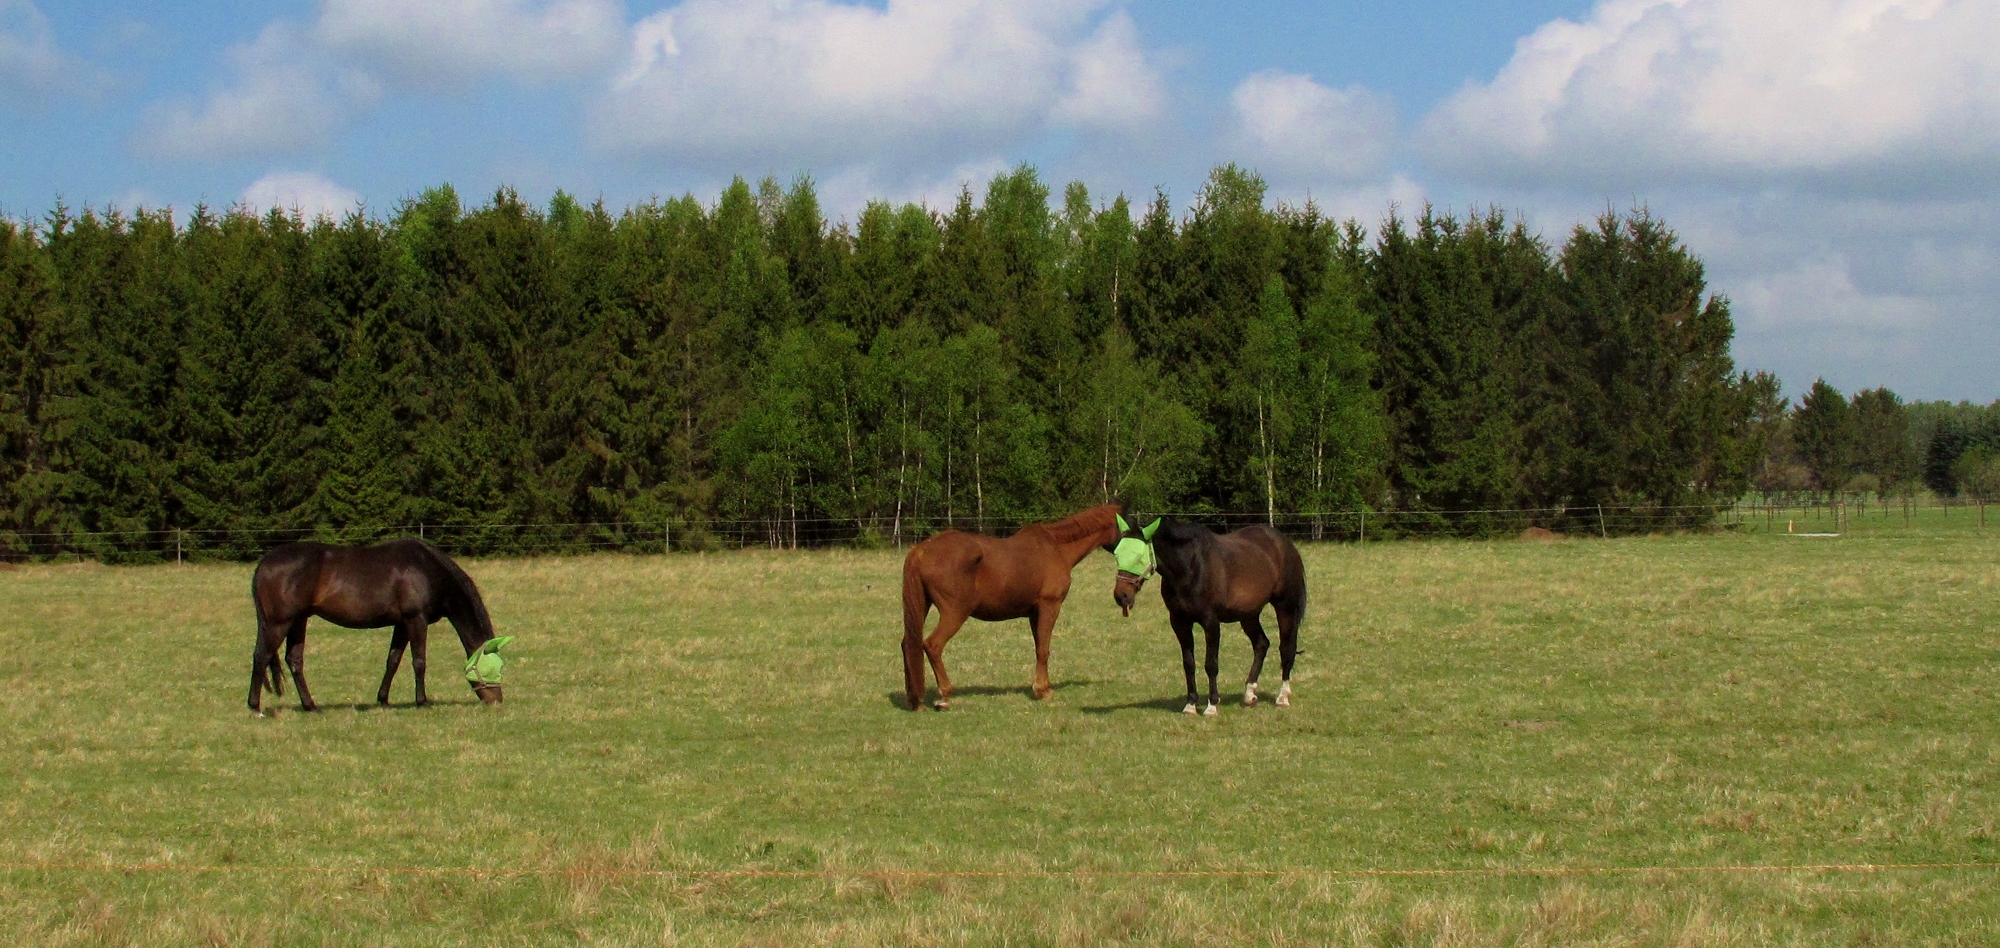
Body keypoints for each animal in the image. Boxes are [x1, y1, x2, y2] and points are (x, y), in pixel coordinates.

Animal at [244, 536, 498, 716]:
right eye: (491, 669)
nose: (497, 700)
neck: (427, 569)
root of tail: (264, 562)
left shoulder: (402, 624)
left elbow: (393, 661)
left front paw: (383, 700)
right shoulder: (416, 620)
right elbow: (419, 662)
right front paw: (422, 701)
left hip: (298, 621)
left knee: (294, 660)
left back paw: (311, 706)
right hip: (279, 623)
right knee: (261, 656)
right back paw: (255, 707)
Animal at [904, 504, 1128, 712]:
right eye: (1130, 525)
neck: (1056, 547)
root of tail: (922, 550)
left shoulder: (1034, 613)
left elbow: (1039, 648)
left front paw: (1043, 686)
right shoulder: (1050, 606)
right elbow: (1044, 649)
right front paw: (1042, 691)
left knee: (908, 644)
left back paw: (916, 700)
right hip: (955, 614)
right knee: (933, 645)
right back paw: (944, 696)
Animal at [1120, 524, 1304, 716]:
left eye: (1138, 557)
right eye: (1117, 554)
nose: (1121, 596)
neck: (1190, 568)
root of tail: (1284, 542)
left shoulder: (1211, 622)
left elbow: (1211, 664)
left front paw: (1212, 705)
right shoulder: (1179, 622)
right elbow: (1188, 664)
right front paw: (1190, 705)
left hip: (1285, 607)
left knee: (1286, 649)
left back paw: (1282, 697)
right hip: (1249, 615)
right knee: (1261, 644)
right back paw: (1249, 695)